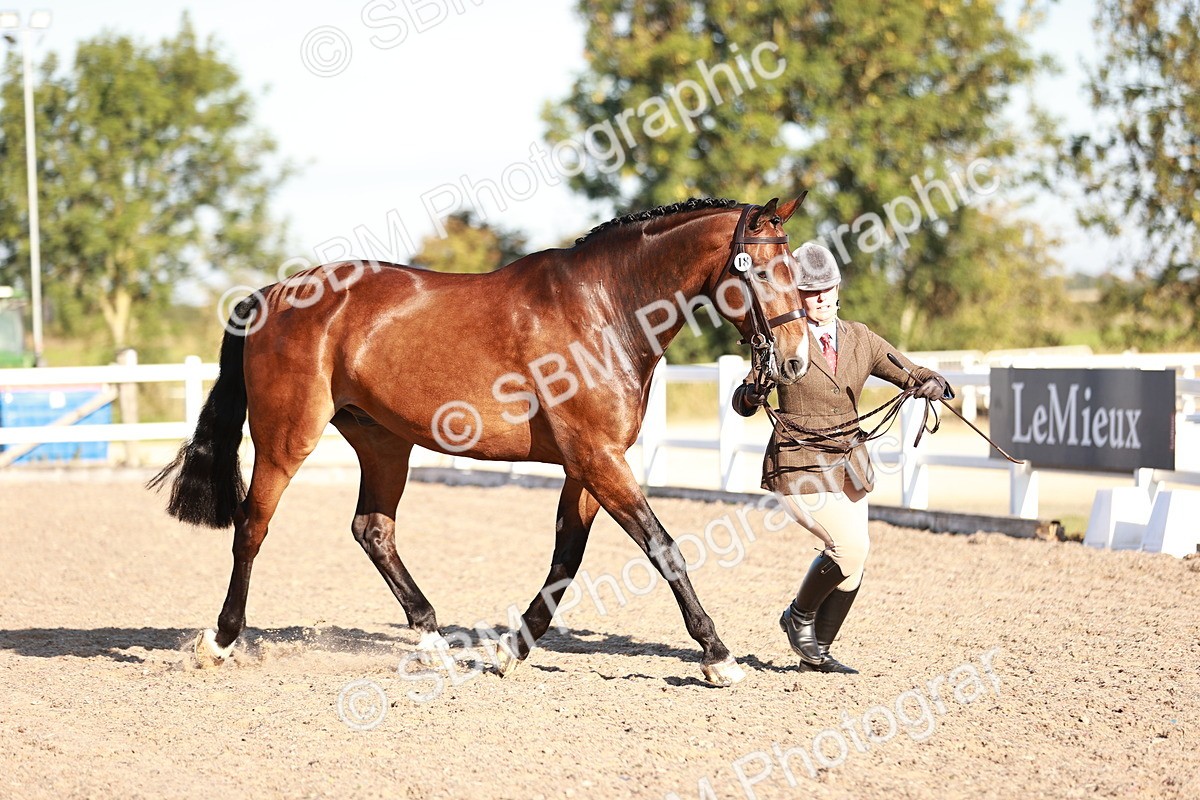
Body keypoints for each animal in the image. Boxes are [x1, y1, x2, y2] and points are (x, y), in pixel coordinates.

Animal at [150, 195, 811, 687]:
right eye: (759, 269)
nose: (796, 360)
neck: (604, 308)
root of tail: (272, 295)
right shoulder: (598, 457)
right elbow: (663, 547)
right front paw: (719, 657)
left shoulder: (586, 465)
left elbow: (566, 559)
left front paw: (508, 651)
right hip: (286, 440)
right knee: (252, 526)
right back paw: (220, 640)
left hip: (384, 444)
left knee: (373, 531)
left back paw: (435, 642)